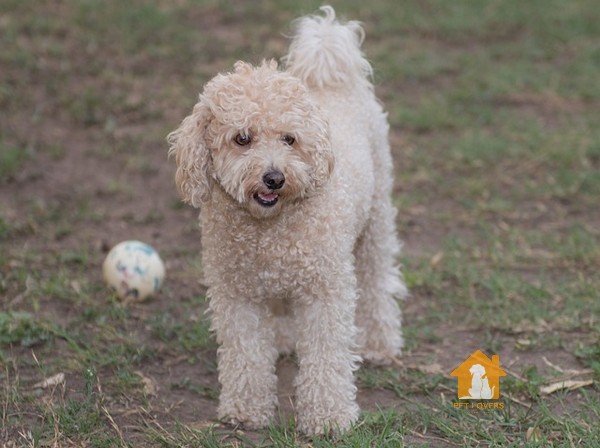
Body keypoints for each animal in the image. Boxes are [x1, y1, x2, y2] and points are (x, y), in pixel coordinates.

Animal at [166, 6, 406, 434]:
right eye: (242, 138)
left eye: (290, 139)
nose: (274, 178)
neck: (269, 231)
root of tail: (333, 79)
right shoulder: (237, 294)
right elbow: (245, 354)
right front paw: (246, 409)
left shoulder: (325, 290)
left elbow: (327, 356)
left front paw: (329, 417)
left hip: (375, 220)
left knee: (377, 281)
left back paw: (379, 343)